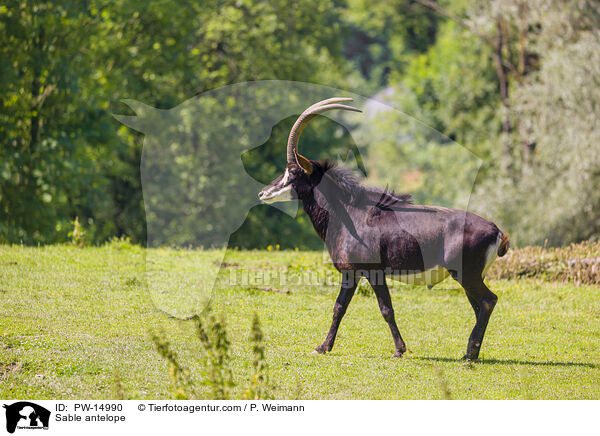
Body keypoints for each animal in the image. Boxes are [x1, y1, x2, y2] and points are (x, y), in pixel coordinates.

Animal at [260, 97, 508, 360]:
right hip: (469, 275)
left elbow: (386, 308)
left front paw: (399, 350)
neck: (349, 212)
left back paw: (470, 353)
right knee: (479, 305)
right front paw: (323, 347)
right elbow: (339, 307)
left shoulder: (373, 272)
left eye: (292, 171)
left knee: (488, 300)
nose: (263, 193)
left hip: (466, 274)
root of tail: (497, 231)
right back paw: (470, 353)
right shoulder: (351, 273)